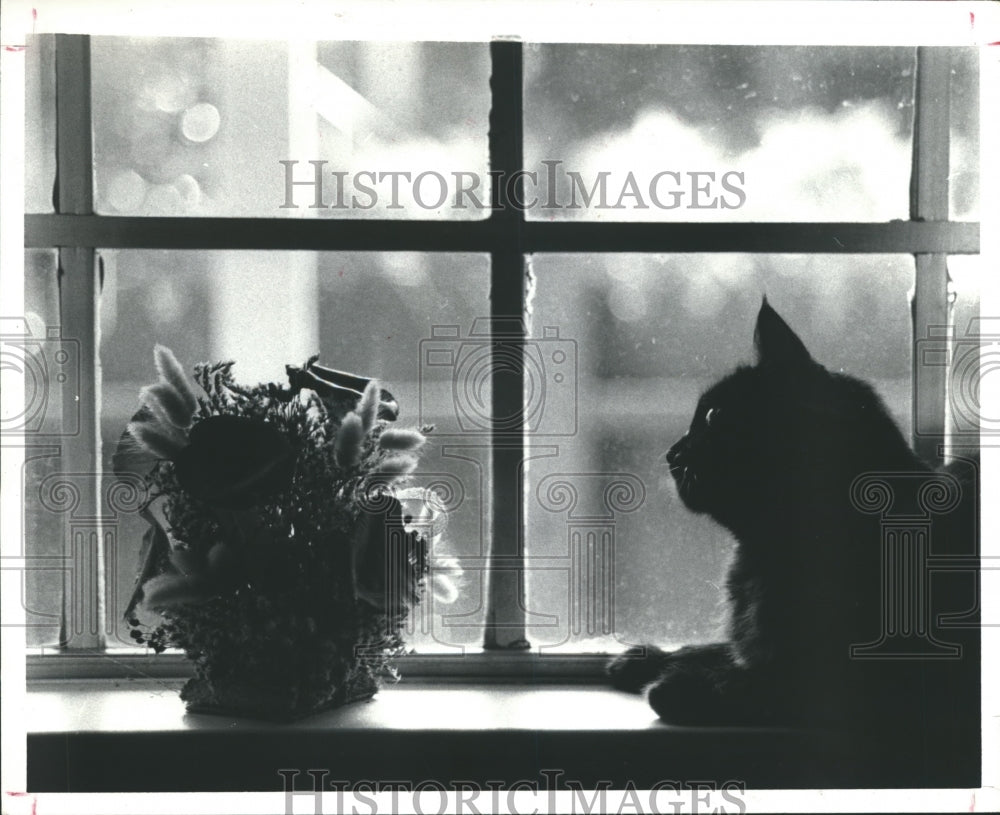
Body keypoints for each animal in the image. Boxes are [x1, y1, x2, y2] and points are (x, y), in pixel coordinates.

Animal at [604, 296, 980, 748]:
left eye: (712, 415)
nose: (670, 452)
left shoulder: (869, 680)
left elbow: (759, 682)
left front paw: (683, 684)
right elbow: (717, 646)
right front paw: (647, 658)